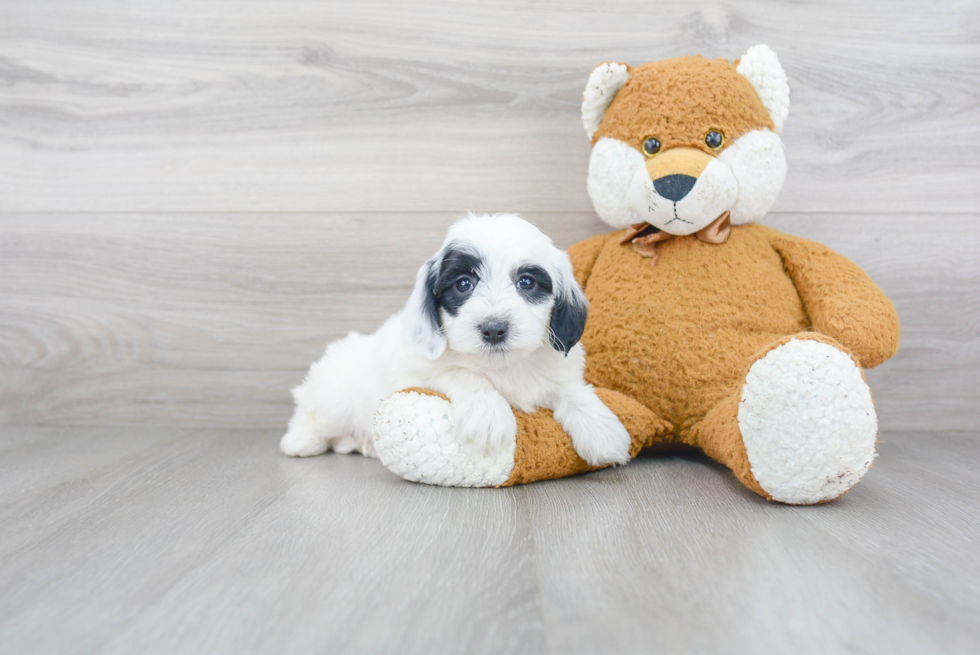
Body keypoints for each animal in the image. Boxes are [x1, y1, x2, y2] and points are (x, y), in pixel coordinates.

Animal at [280, 214, 632, 466]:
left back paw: (359, 444)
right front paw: (488, 416)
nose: (494, 329)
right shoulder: (415, 374)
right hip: (334, 400)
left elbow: (572, 390)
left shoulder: (558, 371)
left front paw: (602, 430)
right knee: (311, 414)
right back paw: (300, 441)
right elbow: (461, 373)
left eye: (526, 282)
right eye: (463, 284)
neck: (504, 367)